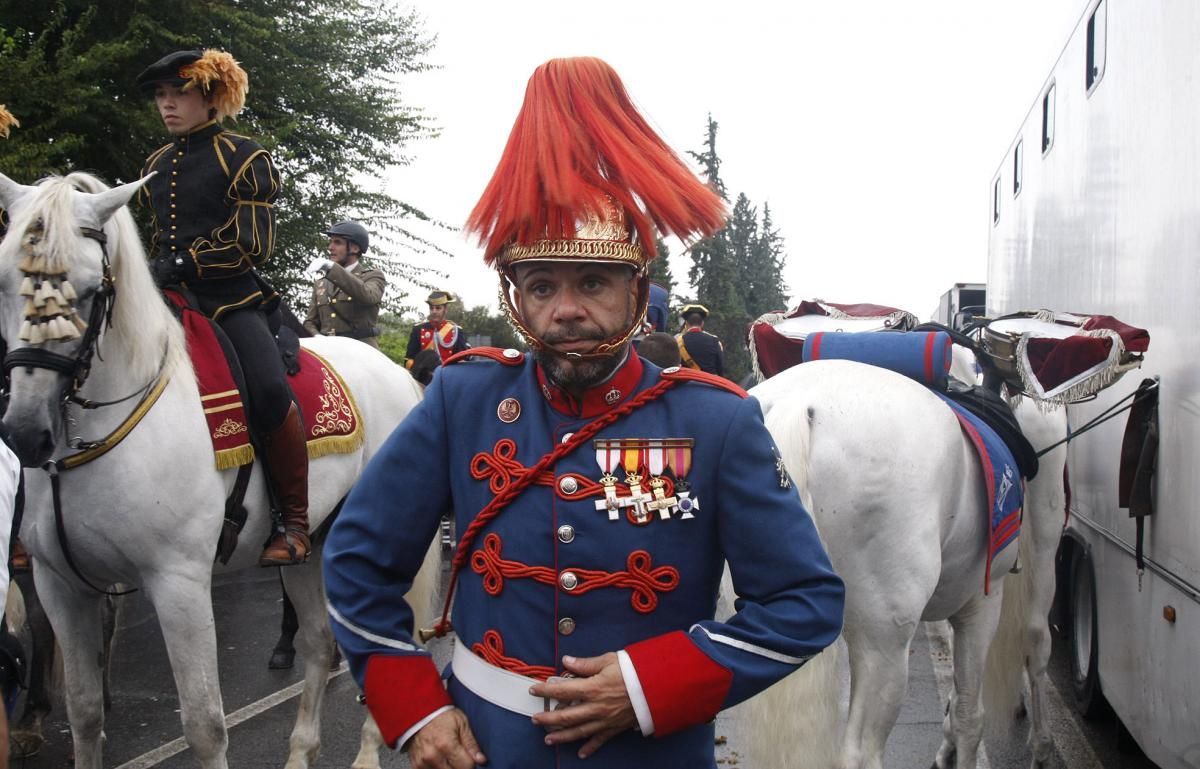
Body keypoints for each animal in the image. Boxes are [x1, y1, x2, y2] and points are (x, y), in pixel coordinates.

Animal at [0, 169, 436, 767]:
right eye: (5, 281)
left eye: (90, 291)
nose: (24, 432)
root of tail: (396, 372)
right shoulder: (59, 583)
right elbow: (85, 713)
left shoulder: (178, 582)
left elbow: (205, 725)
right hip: (313, 544)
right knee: (319, 642)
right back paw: (300, 752)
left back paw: (368, 753)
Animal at [739, 355, 1070, 767]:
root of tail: (798, 403)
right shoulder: (983, 603)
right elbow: (975, 709)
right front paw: (1035, 744)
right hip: (883, 646)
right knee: (861, 753)